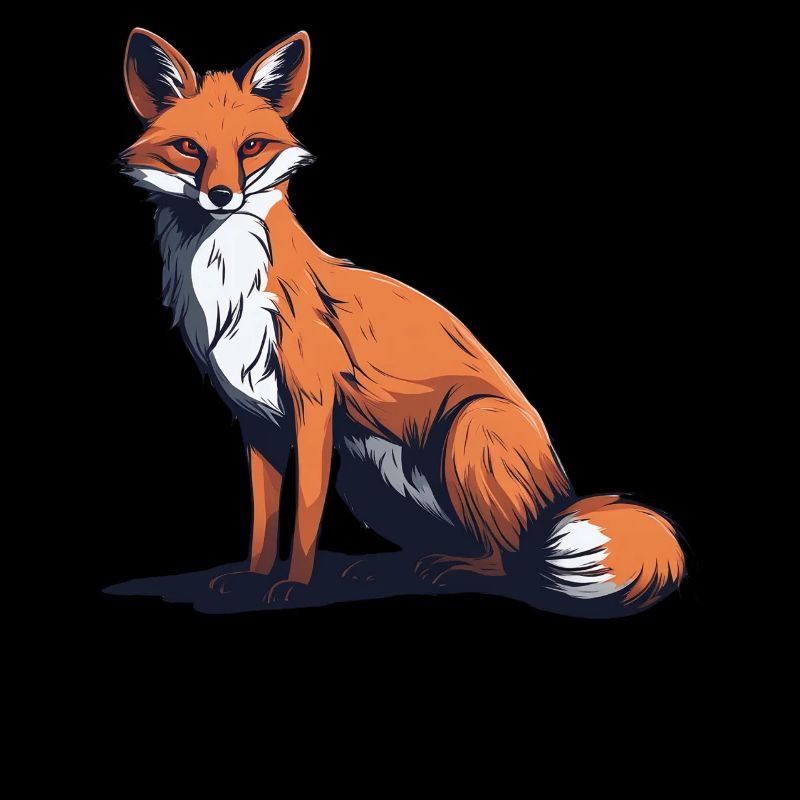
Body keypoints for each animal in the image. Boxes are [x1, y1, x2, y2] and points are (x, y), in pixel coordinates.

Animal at [120, 28, 685, 617]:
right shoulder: (258, 422)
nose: (222, 196)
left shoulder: (313, 410)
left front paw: (296, 586)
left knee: (511, 560)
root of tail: (557, 499)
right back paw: (389, 568)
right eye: (190, 147)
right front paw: (252, 577)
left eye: (251, 147)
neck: (230, 288)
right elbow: (264, 521)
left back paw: (452, 570)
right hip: (366, 477)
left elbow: (304, 517)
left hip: (469, 431)